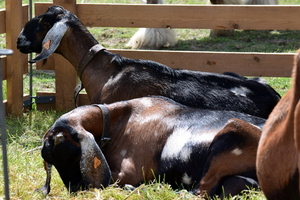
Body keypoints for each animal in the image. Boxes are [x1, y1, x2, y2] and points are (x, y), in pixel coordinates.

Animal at [36, 96, 264, 198]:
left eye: (70, 153)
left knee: (199, 192)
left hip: (231, 132)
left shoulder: (130, 171)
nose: (75, 189)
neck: (122, 121)